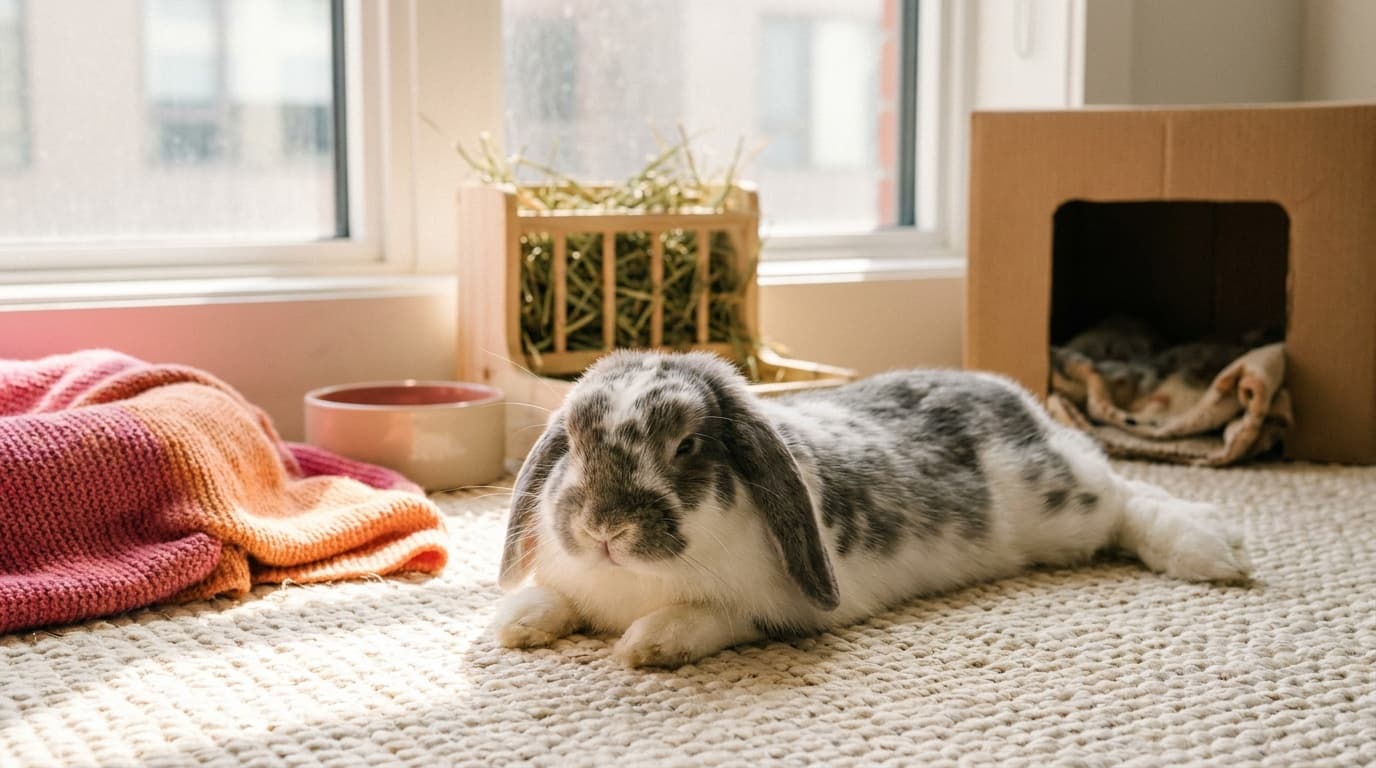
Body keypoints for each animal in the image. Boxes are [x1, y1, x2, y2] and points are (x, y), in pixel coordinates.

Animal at [492, 351, 1252, 668]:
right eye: (574, 442)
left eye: (686, 445)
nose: (604, 528)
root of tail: (1018, 399)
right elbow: (554, 598)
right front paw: (514, 623)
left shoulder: (771, 610)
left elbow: (708, 618)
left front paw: (647, 645)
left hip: (1065, 507)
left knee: (1126, 496)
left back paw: (1211, 549)